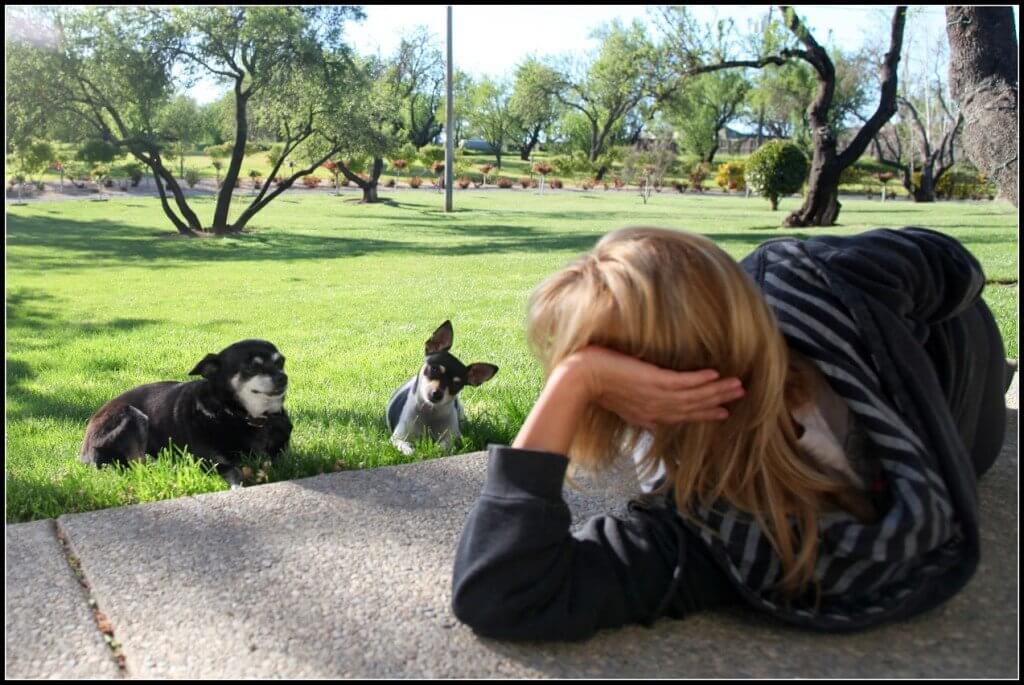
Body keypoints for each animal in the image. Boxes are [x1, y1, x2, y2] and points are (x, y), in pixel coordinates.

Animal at [80, 339, 292, 483]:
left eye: (281, 362)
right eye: (251, 367)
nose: (283, 378)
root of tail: (84, 453)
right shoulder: (208, 460)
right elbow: (235, 471)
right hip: (132, 415)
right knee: (137, 464)